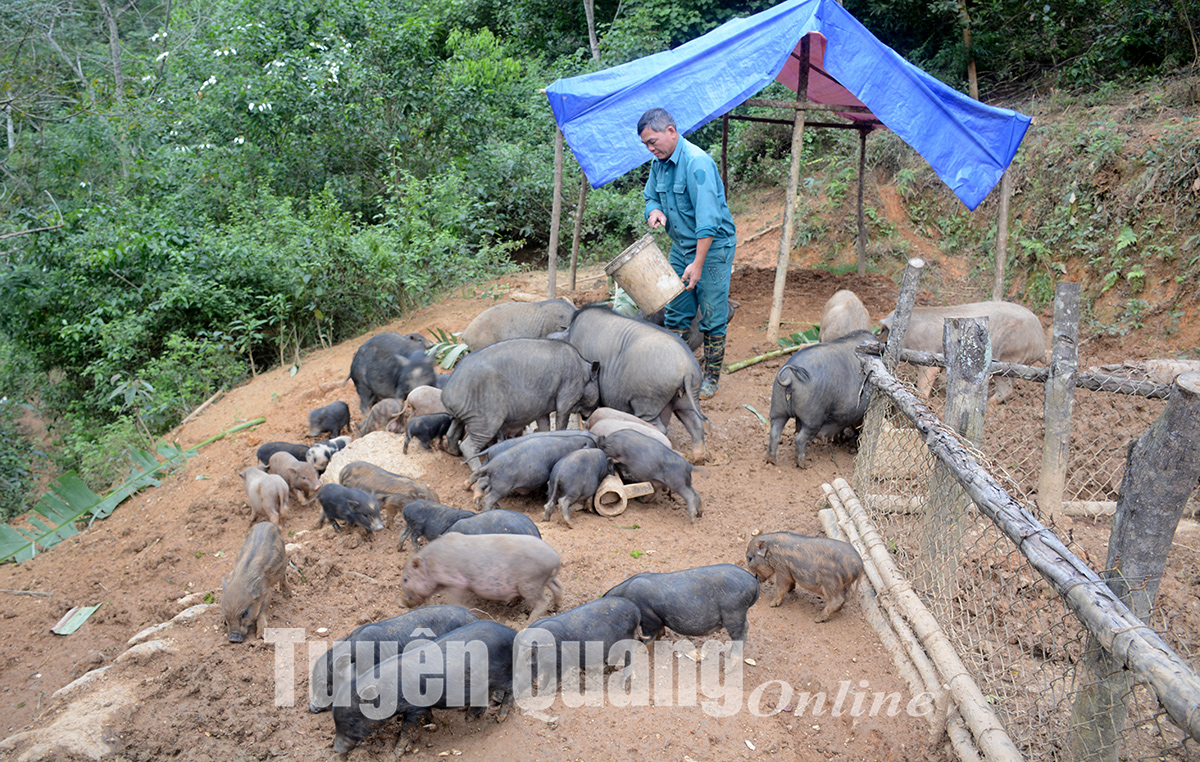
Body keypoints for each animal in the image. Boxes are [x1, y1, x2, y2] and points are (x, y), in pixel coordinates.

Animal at [396, 532, 559, 624]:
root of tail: (555, 557)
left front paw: (462, 607)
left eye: (405, 579)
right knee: (558, 587)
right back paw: (556, 607)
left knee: (543, 601)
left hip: (530, 583)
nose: (402, 602)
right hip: (545, 579)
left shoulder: (456, 580)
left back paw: (527, 622)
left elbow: (456, 597)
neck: (431, 563)